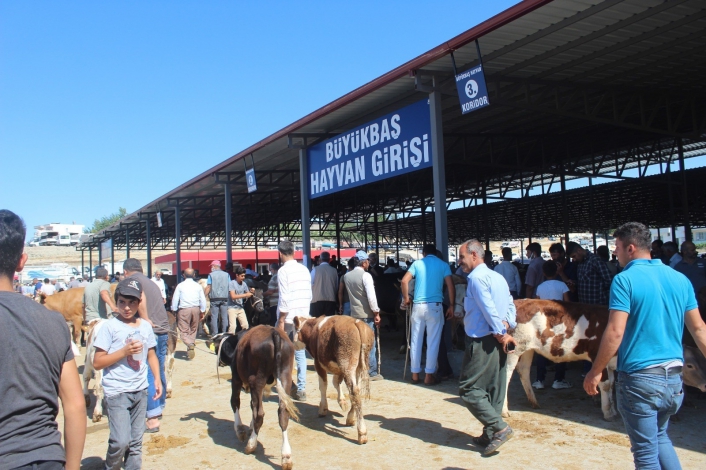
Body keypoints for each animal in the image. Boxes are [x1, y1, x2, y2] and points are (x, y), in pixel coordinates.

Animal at [219, 324, 298, 468]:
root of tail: (274, 333)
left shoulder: (236, 378)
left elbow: (235, 401)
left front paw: (240, 430)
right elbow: (252, 406)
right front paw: (250, 428)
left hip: (257, 380)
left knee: (259, 414)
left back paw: (251, 445)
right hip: (285, 377)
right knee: (283, 414)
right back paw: (286, 456)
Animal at [290, 316, 372, 444]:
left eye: (293, 329)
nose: (291, 341)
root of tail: (356, 322)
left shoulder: (318, 363)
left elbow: (323, 385)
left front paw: (323, 409)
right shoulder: (338, 369)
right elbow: (336, 382)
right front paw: (342, 402)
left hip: (347, 363)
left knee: (354, 392)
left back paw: (362, 433)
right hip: (357, 366)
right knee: (356, 390)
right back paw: (350, 418)